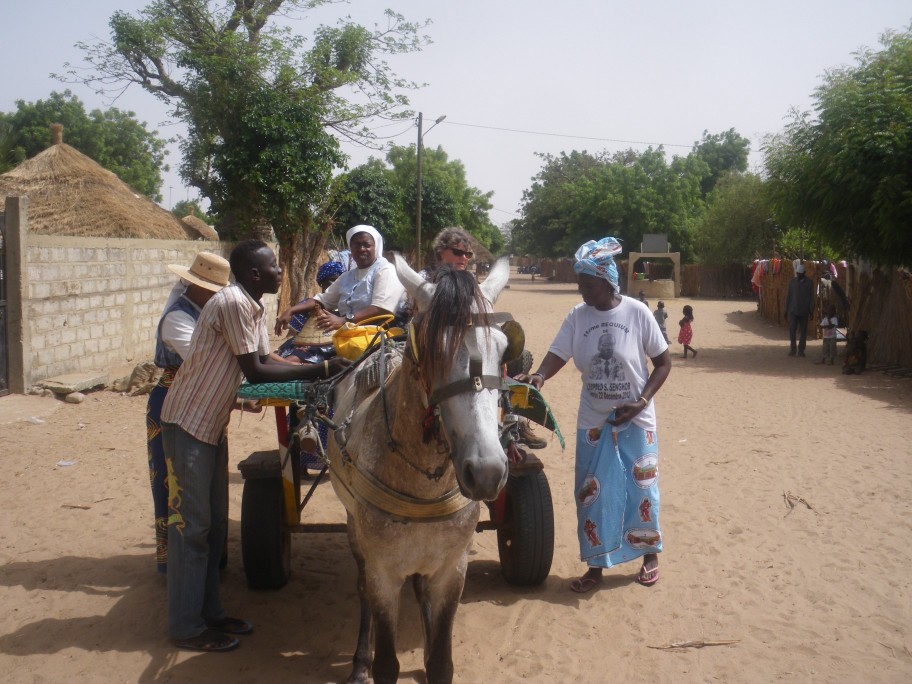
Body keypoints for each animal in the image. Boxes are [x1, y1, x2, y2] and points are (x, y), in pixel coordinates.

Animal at [330, 255, 512, 684]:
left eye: (503, 350)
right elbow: (387, 665)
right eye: (432, 350)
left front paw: (432, 649)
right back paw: (359, 661)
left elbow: (441, 662)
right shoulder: (383, 575)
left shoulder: (451, 572)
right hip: (354, 529)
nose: (486, 472)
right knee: (360, 587)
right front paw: (369, 662)